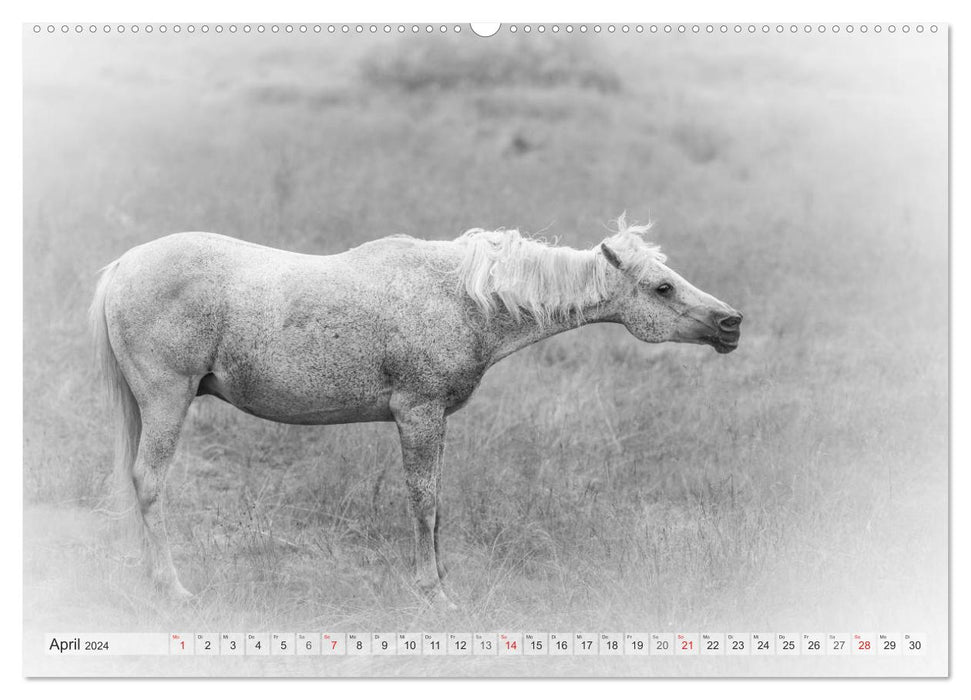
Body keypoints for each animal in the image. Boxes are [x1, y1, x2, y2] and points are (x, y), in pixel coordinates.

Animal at [93, 216, 744, 604]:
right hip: (167, 400)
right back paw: (172, 587)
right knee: (148, 482)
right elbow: (424, 501)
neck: (466, 297)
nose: (731, 323)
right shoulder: (419, 414)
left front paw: (440, 578)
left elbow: (436, 501)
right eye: (662, 288)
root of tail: (124, 265)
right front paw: (432, 591)